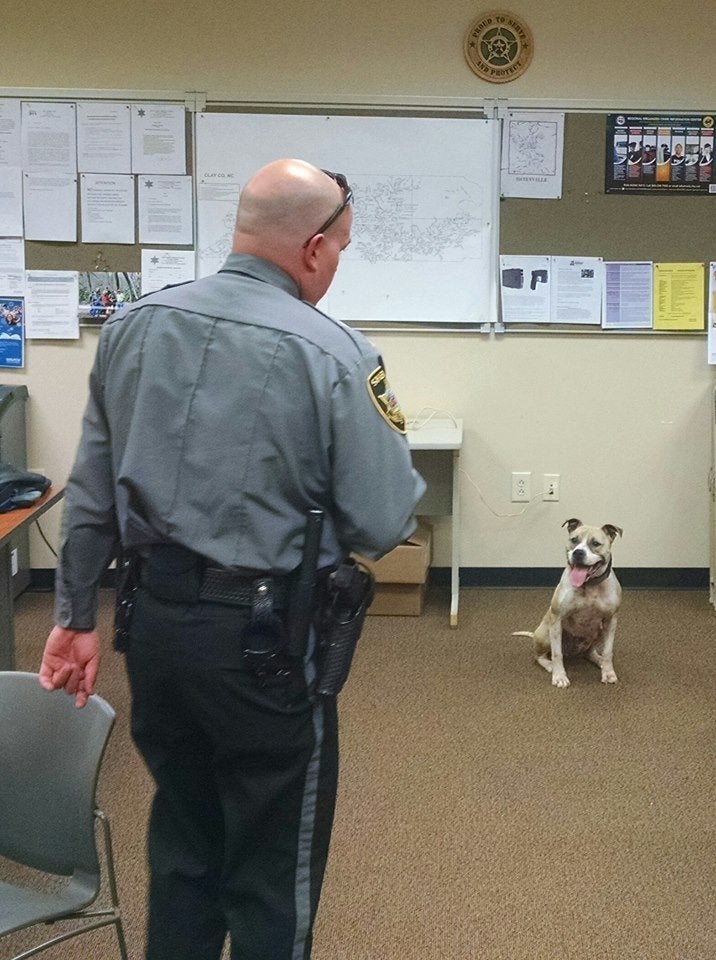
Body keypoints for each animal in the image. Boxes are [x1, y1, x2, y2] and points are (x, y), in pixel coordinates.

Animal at [516, 520, 620, 688]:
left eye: (595, 543)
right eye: (574, 540)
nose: (578, 552)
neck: (589, 585)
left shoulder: (611, 621)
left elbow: (608, 652)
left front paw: (608, 672)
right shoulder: (556, 618)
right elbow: (557, 654)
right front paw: (559, 676)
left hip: (600, 631)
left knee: (589, 652)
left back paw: (598, 660)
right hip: (546, 633)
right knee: (540, 656)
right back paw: (550, 665)